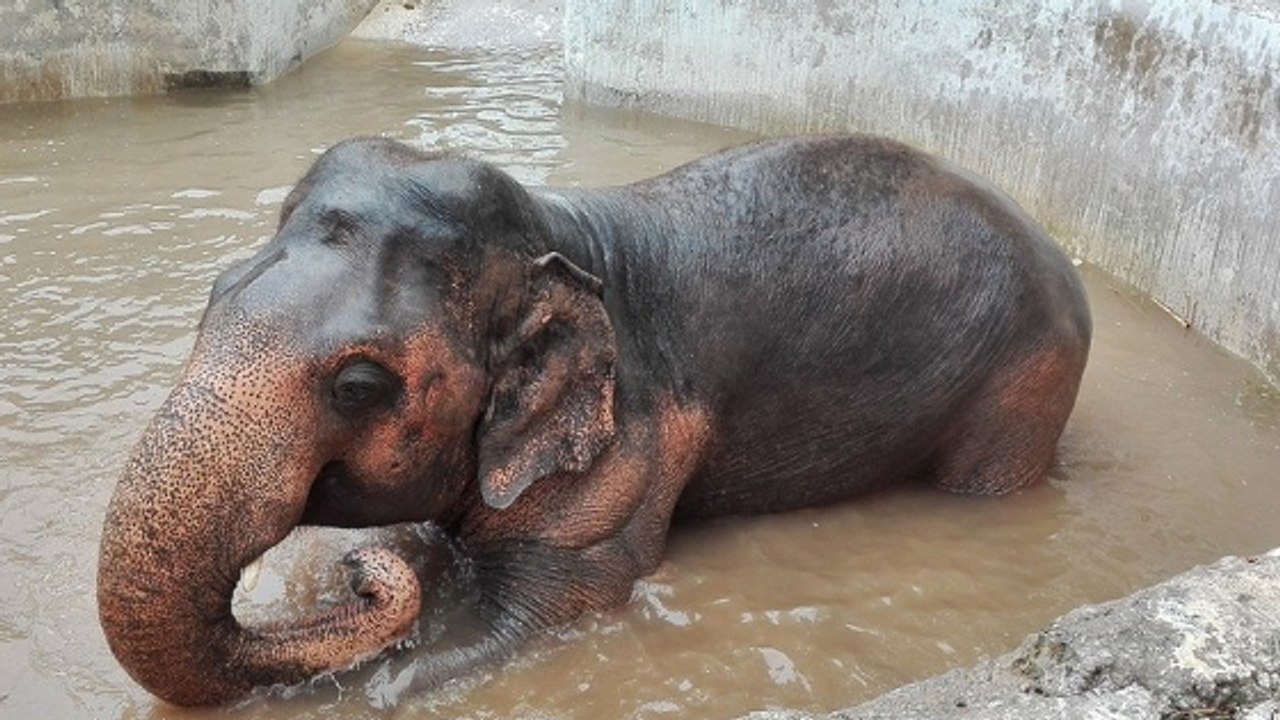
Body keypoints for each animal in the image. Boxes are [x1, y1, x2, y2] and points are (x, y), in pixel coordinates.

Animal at [98, 134, 1091, 707]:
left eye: (362, 386)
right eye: (214, 294)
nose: (353, 574)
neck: (566, 240)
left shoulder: (626, 456)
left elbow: (552, 613)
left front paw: (386, 676)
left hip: (1025, 385)